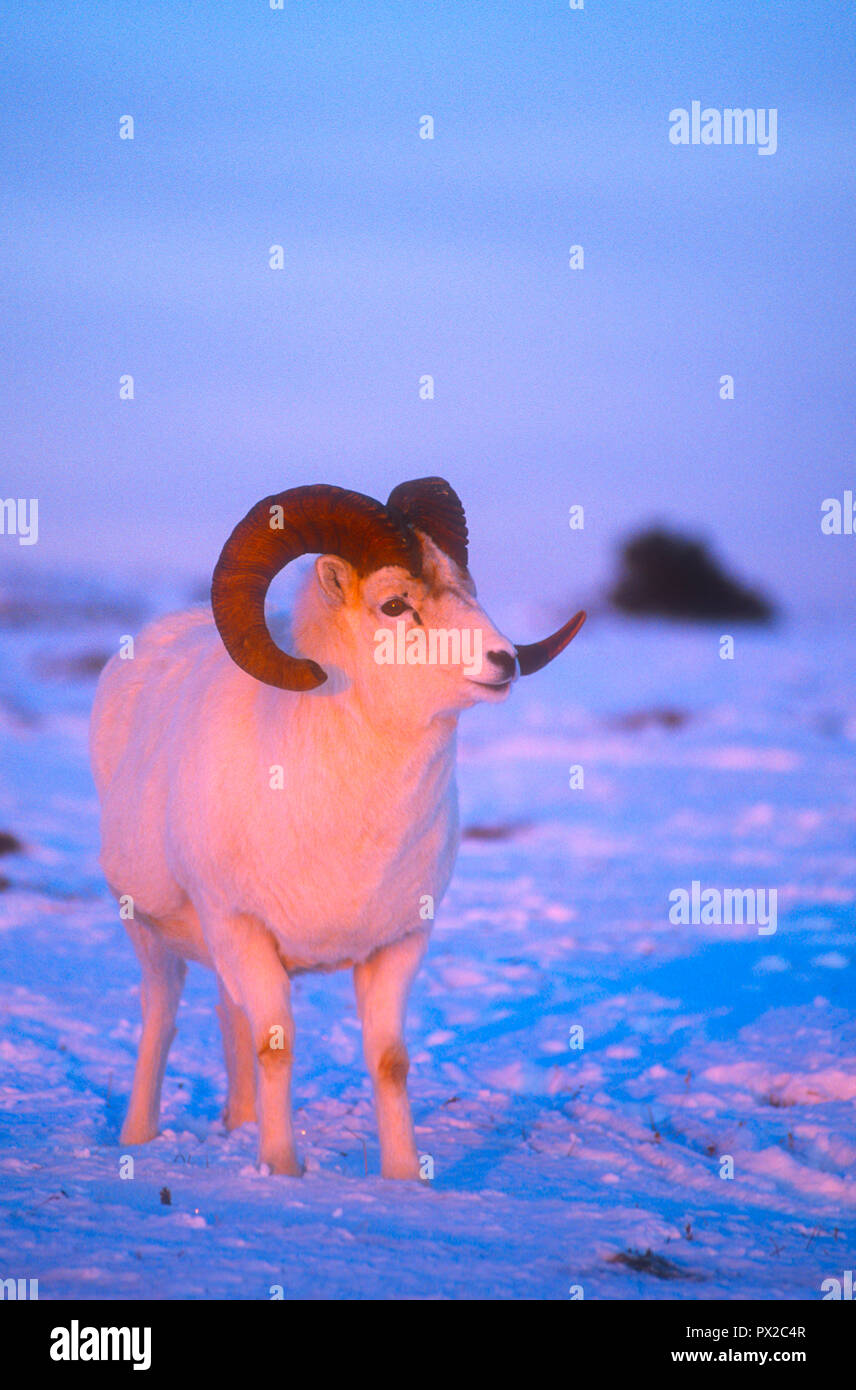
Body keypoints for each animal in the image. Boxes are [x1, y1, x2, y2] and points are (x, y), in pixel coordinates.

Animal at [90, 479, 585, 1178]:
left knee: (228, 1014)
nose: (504, 660)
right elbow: (276, 1048)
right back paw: (138, 1140)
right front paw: (282, 1170)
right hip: (150, 931)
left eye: (467, 587)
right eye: (395, 604)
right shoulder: (243, 928)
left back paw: (239, 1126)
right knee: (161, 1019)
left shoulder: (397, 946)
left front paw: (402, 1178)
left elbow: (389, 1061)